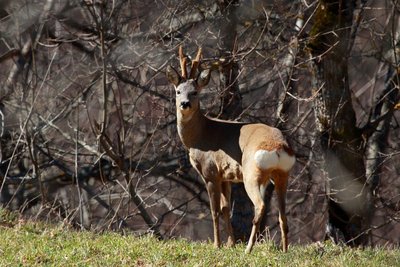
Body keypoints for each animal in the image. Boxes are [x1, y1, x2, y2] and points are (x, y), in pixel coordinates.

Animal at [165, 46, 294, 253]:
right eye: (178, 91)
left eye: (195, 92)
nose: (184, 104)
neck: (200, 137)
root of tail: (280, 147)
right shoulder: (226, 176)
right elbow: (226, 209)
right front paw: (230, 243)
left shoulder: (210, 172)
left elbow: (215, 210)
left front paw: (217, 245)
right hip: (282, 174)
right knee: (283, 215)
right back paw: (284, 250)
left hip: (252, 173)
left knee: (260, 206)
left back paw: (248, 249)